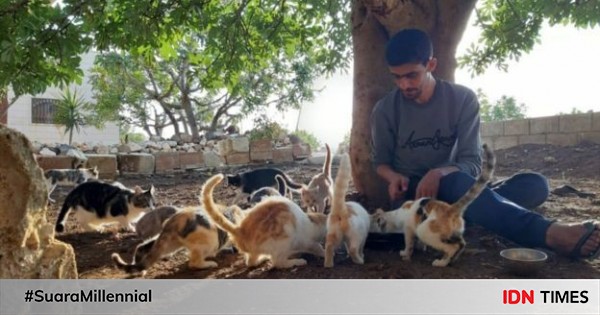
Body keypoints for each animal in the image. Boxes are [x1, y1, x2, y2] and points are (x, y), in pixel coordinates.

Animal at [111, 206, 245, 276]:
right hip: (210, 241)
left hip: (170, 245)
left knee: (141, 247)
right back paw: (209, 263)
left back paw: (140, 269)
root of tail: (174, 222)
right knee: (193, 263)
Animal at [200, 174, 328, 270]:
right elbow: (317, 248)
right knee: (278, 262)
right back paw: (297, 261)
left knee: (250, 263)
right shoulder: (308, 242)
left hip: (254, 252)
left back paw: (263, 258)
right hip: (284, 238)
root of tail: (240, 230)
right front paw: (325, 253)